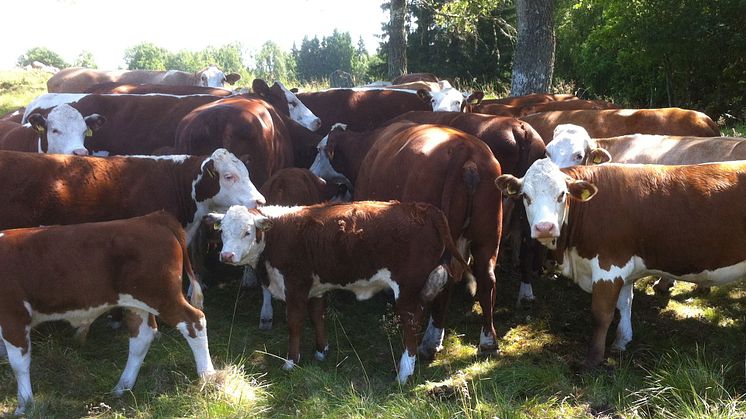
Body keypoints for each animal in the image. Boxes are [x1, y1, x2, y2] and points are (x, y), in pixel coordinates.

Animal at [0, 212, 215, 416]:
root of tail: (152, 218)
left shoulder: (13, 315)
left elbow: (18, 363)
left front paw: (25, 405)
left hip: (162, 296)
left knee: (194, 322)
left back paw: (207, 376)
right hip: (137, 303)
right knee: (142, 337)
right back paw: (123, 386)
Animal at [209, 203, 464, 384]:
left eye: (247, 231)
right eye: (222, 232)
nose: (226, 256)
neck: (277, 236)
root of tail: (424, 208)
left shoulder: (295, 284)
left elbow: (295, 322)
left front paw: (291, 362)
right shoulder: (315, 287)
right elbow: (317, 316)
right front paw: (321, 352)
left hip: (407, 290)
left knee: (411, 323)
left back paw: (403, 374)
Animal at [308, 123, 500, 360]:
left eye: (318, 150)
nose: (310, 173)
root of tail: (465, 148)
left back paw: (430, 342)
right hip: (487, 237)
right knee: (485, 279)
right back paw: (488, 341)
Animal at [496, 158, 746, 370]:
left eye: (562, 194)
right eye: (526, 196)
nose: (544, 227)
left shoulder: (608, 265)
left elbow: (601, 314)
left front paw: (593, 359)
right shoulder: (623, 269)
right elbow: (625, 303)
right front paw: (622, 341)